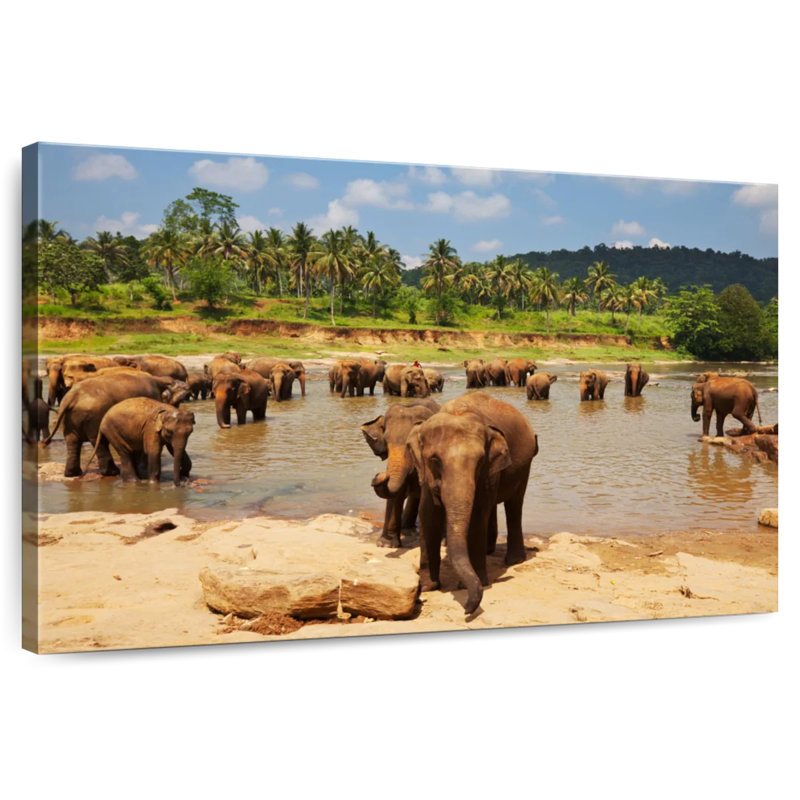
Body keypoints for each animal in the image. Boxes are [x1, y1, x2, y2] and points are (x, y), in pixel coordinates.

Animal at [43, 372, 191, 477]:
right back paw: (112, 473)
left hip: (70, 419)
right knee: (99, 440)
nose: (186, 473)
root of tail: (71, 397)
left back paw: (72, 474)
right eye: (177, 402)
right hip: (94, 417)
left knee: (72, 441)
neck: (158, 379)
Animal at [361, 398, 441, 548]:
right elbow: (396, 495)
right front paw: (386, 544)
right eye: (386, 441)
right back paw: (407, 530)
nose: (380, 474)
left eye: (410, 445)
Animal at [407, 392, 538, 614]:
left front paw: (478, 583)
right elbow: (428, 516)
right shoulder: (424, 473)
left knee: (514, 505)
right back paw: (489, 551)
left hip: (525, 465)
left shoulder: (488, 472)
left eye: (479, 461)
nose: (467, 608)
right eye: (434, 460)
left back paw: (514, 560)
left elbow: (477, 514)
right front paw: (427, 587)